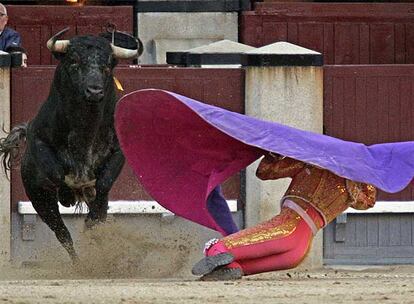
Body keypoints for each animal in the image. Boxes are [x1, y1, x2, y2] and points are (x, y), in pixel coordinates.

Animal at [0, 27, 142, 262]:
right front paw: (66, 194)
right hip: (39, 198)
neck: (85, 126)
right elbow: (57, 172)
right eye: (74, 61)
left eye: (107, 65)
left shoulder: (118, 152)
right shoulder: (40, 143)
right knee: (62, 233)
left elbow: (104, 183)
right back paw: (77, 261)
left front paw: (91, 212)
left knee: (96, 214)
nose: (94, 91)